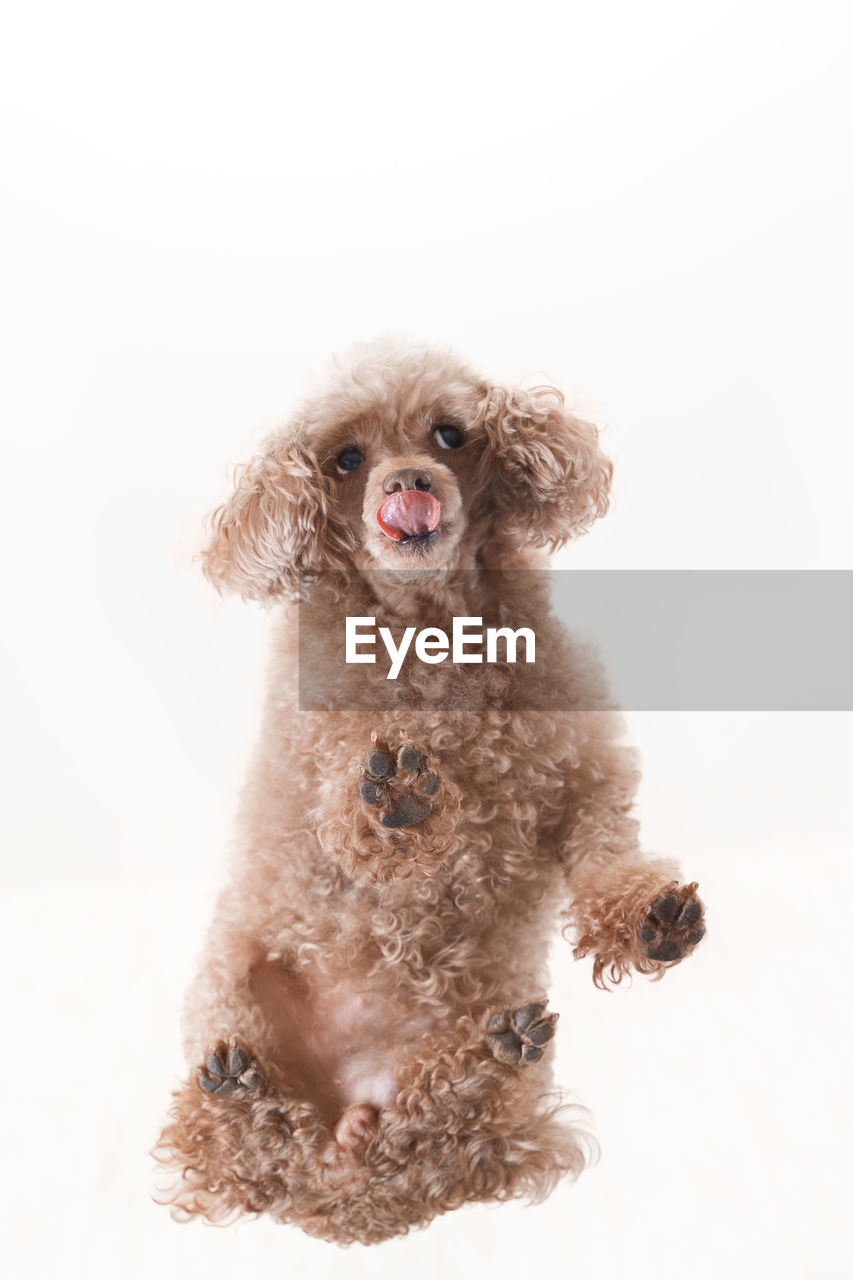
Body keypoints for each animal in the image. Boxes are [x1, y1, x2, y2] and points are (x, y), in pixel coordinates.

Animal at [153, 337, 701, 1239]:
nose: (406, 482)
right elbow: (362, 821)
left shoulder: (577, 782)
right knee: (235, 1151)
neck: (433, 630)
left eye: (448, 433)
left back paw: (487, 1059)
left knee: (444, 1135)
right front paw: (400, 794)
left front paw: (650, 920)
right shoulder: (328, 779)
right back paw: (248, 1098)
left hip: (486, 1095)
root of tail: (348, 1172)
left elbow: (604, 854)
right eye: (346, 458)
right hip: (228, 994)